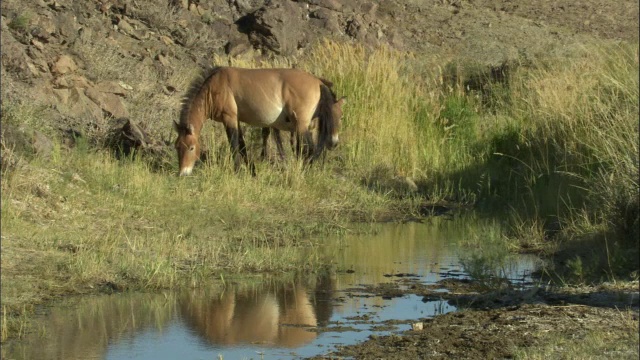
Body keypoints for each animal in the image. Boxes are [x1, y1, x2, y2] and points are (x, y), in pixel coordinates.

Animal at [172, 67, 344, 176]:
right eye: (177, 146)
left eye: (191, 147)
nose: (183, 173)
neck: (215, 86)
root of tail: (318, 82)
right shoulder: (236, 120)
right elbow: (242, 146)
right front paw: (252, 171)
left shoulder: (229, 118)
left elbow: (234, 145)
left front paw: (237, 171)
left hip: (302, 125)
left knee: (311, 148)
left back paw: (303, 170)